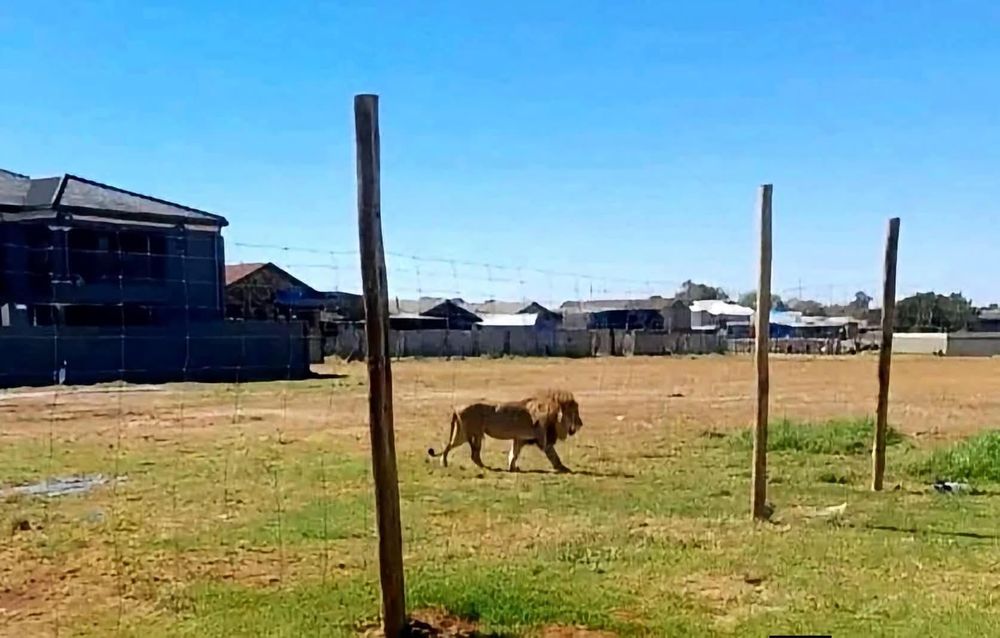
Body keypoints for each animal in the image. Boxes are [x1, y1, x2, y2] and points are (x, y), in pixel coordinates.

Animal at [428, 389, 583, 472]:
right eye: (575, 413)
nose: (581, 424)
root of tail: (457, 408)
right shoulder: (542, 439)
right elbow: (553, 455)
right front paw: (563, 468)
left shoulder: (520, 438)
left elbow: (513, 453)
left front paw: (513, 467)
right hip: (469, 434)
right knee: (467, 452)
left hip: (465, 433)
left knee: (458, 449)